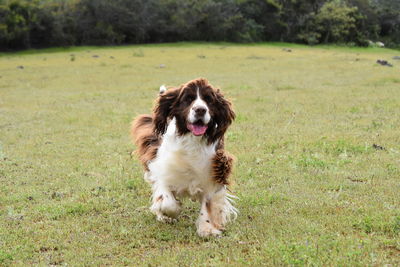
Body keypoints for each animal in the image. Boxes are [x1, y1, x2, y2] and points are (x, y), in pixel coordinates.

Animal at [131, 78, 238, 238]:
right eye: (188, 99)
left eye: (209, 100)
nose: (200, 110)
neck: (192, 140)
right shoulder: (163, 170)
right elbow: (167, 201)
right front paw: (169, 213)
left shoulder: (216, 172)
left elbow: (209, 203)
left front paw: (207, 229)